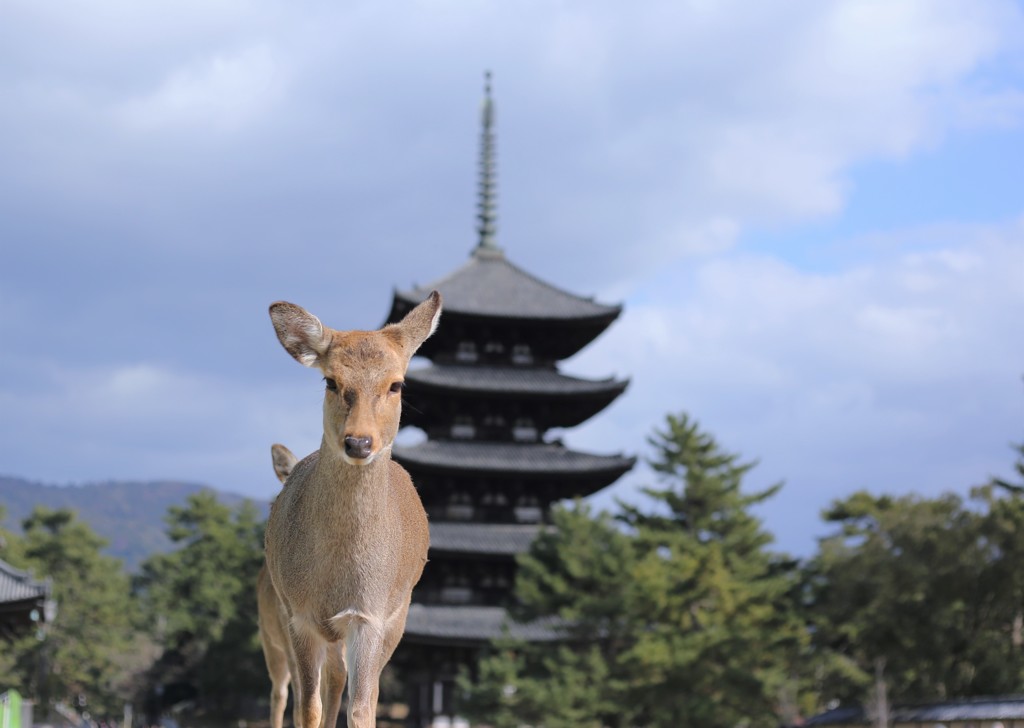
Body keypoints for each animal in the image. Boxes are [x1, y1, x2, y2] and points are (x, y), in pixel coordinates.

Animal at [262, 292, 438, 728]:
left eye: (396, 384)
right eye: (330, 380)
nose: (359, 442)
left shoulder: (371, 615)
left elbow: (362, 708)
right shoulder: (299, 615)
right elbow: (307, 707)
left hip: (396, 616)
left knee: (347, 683)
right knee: (294, 690)